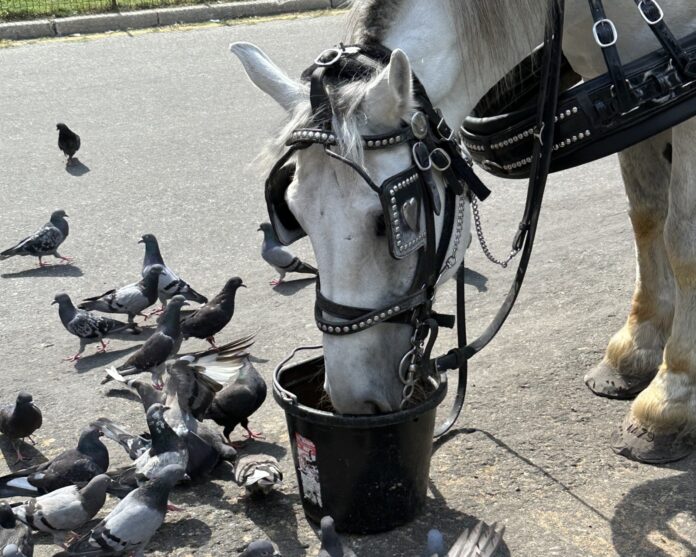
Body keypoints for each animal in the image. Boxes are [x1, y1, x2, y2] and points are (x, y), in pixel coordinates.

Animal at [234, 0, 696, 464]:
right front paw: (635, 350)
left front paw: (670, 398)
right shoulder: (625, 102)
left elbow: (682, 240)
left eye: (393, 218)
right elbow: (646, 216)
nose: (351, 400)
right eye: (293, 213)